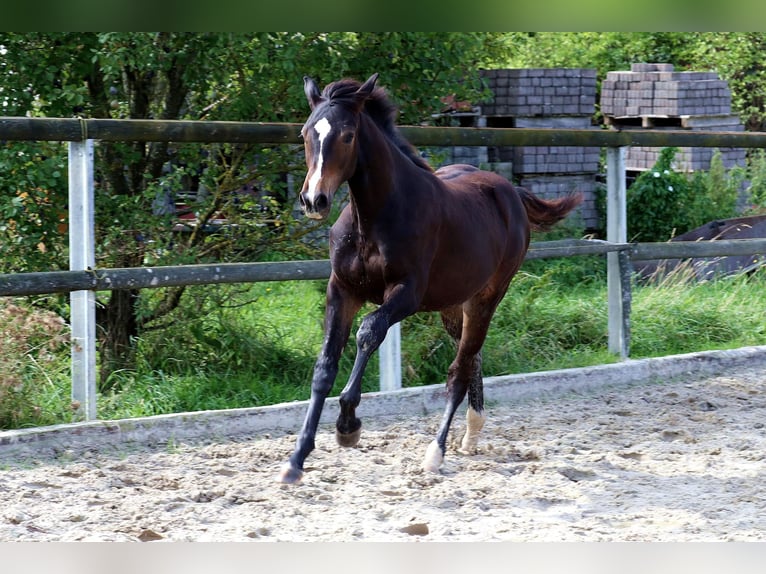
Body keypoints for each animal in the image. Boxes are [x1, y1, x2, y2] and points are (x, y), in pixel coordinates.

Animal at [280, 73, 584, 486]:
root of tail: (510, 193)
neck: (372, 219)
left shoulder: (406, 294)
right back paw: (471, 434)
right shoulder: (341, 290)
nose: (314, 200)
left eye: (347, 135)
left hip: (486, 298)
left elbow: (369, 333)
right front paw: (296, 459)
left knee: (460, 370)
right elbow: (324, 366)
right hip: (453, 305)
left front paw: (348, 426)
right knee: (472, 358)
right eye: (305, 133)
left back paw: (436, 452)